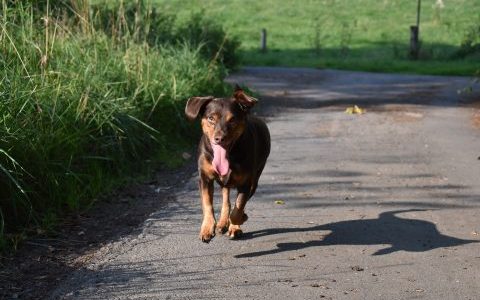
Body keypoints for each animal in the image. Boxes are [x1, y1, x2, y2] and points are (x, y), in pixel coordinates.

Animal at [185, 85, 270, 243]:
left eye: (233, 120)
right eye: (211, 118)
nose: (219, 138)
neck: (229, 156)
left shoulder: (246, 182)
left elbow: (238, 208)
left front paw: (238, 221)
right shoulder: (204, 178)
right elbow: (207, 204)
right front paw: (207, 228)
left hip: (255, 178)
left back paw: (232, 226)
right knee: (226, 197)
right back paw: (222, 222)